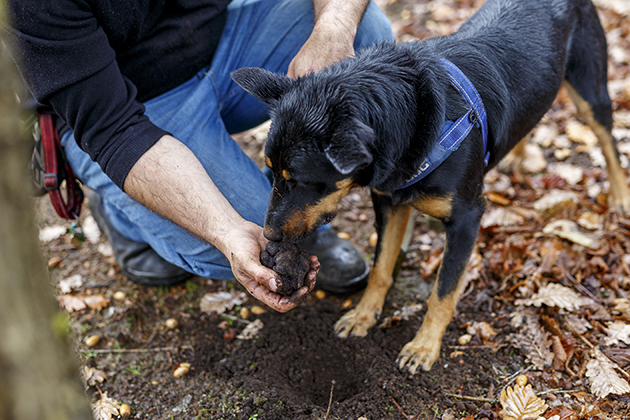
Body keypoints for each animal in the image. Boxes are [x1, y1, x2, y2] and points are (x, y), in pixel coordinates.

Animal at [232, 0, 630, 374]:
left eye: (299, 180)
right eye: (271, 172)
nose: (269, 236)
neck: (412, 123)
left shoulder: (467, 217)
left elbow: (443, 291)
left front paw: (423, 347)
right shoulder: (390, 204)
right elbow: (381, 268)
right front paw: (363, 316)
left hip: (590, 88)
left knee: (608, 139)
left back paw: (620, 196)